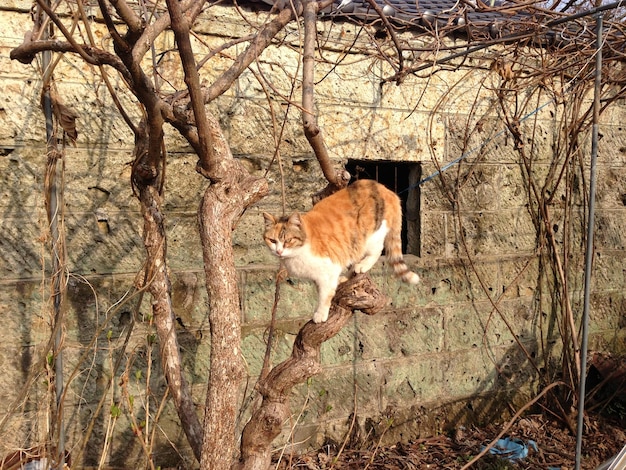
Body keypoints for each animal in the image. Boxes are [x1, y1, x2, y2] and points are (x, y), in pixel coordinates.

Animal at [260, 180, 416, 324]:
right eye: (272, 240)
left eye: (288, 240)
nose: (279, 251)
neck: (297, 253)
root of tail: (386, 190)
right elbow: (322, 291)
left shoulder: (329, 269)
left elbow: (325, 295)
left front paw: (321, 313)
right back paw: (345, 277)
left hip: (370, 236)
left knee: (376, 251)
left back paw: (362, 265)